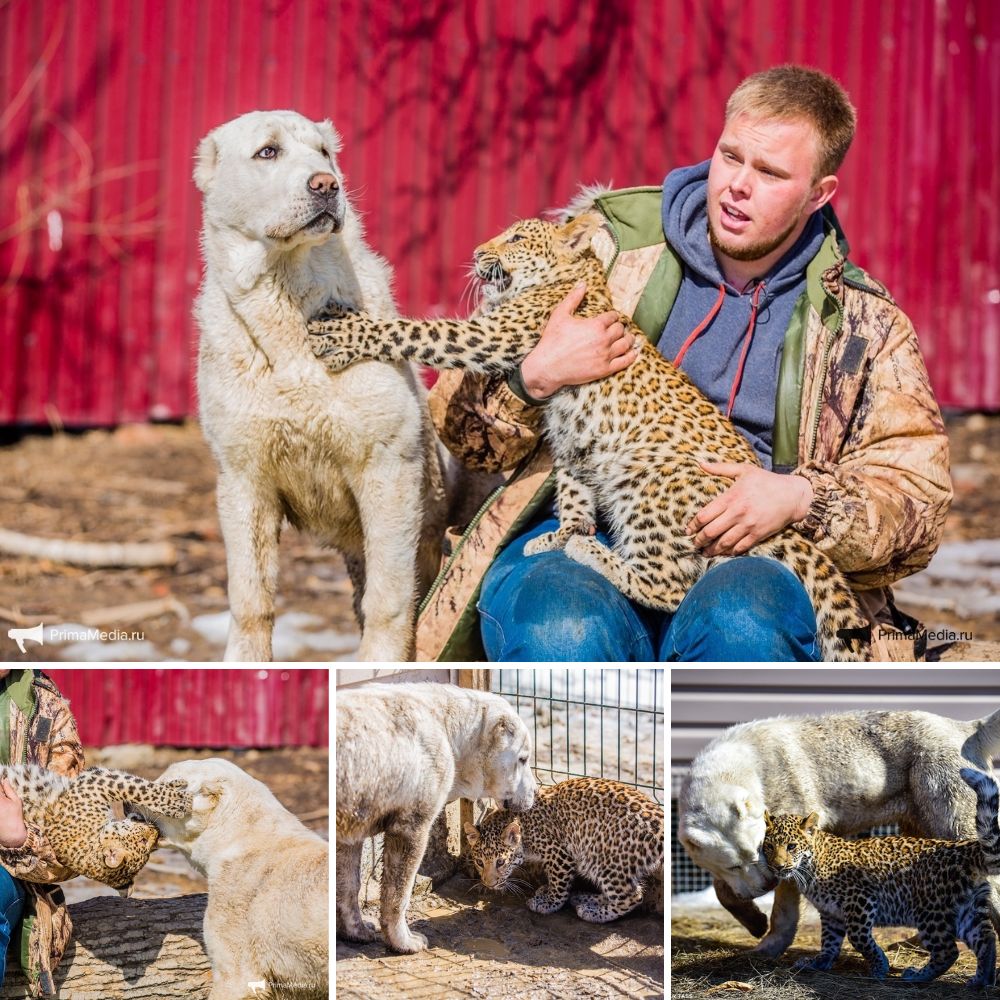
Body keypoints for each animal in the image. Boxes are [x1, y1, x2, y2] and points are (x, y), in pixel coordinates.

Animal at [192, 109, 450, 660]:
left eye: (325, 154)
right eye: (267, 152)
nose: (327, 185)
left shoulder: (389, 469)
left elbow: (389, 601)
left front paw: (381, 666)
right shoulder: (242, 482)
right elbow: (250, 601)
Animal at [338, 680, 540, 952]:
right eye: (523, 759)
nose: (535, 792)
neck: (449, 730)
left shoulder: (350, 828)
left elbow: (349, 885)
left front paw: (356, 931)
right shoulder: (410, 825)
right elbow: (398, 893)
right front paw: (403, 942)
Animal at [676, 708, 1000, 956]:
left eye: (761, 849)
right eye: (734, 864)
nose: (768, 883)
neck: (749, 768)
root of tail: (965, 727)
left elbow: (784, 908)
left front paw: (770, 945)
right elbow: (723, 889)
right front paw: (754, 920)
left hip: (948, 808)